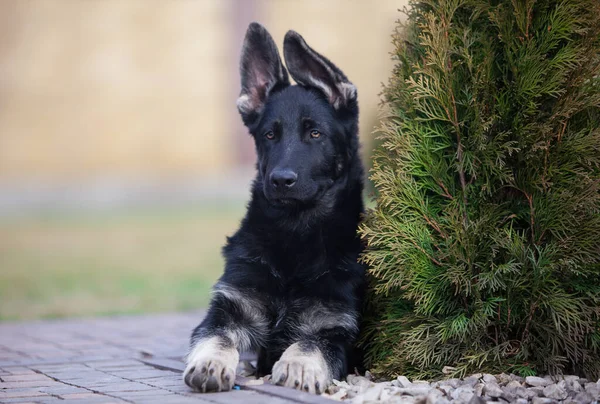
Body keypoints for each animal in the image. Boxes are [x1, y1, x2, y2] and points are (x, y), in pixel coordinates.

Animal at [182, 22, 366, 394]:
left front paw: (299, 365)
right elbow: (216, 336)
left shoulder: (336, 327)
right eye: (269, 135)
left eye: (315, 133)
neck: (295, 236)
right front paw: (210, 362)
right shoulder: (230, 308)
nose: (281, 180)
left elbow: (310, 343)